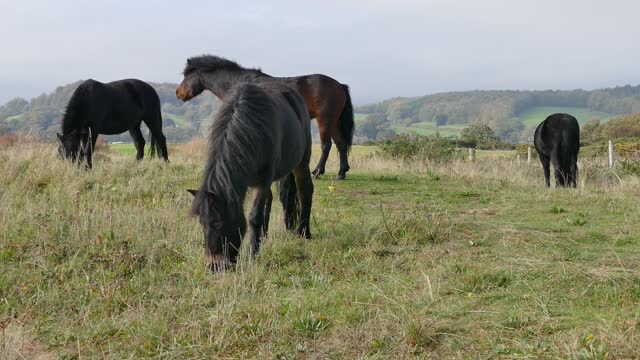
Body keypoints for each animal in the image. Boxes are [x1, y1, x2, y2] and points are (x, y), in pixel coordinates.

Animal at [175, 53, 356, 180]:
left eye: (186, 76)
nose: (178, 93)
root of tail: (339, 85)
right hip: (334, 122)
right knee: (341, 144)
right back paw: (341, 173)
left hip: (324, 120)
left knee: (327, 145)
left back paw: (317, 172)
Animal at [186, 81, 314, 272]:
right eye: (201, 224)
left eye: (219, 224)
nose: (214, 266)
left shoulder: (262, 181)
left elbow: (254, 217)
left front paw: (251, 255)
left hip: (302, 162)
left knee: (305, 191)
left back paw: (303, 232)